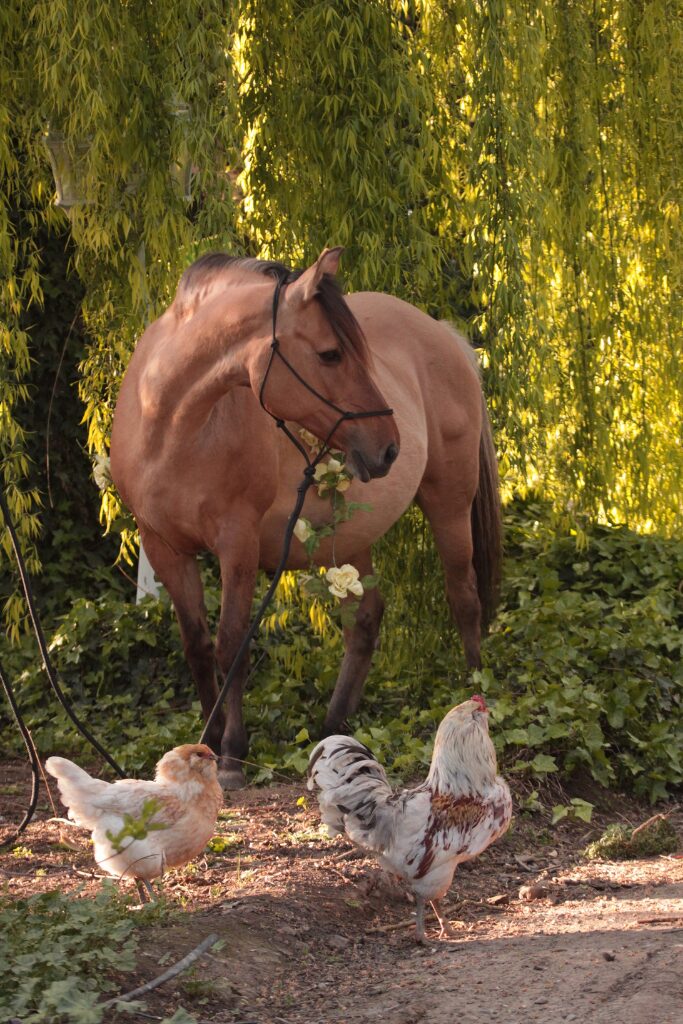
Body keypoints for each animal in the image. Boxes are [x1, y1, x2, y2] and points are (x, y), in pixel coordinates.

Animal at [110, 247, 501, 789]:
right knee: (365, 620)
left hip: (449, 503)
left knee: (463, 597)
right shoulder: (164, 548)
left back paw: (470, 691)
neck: (172, 426)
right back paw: (335, 721)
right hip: (353, 537)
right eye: (331, 354)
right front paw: (208, 738)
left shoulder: (238, 546)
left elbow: (231, 645)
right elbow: (198, 646)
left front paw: (232, 753)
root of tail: (445, 335)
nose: (389, 447)